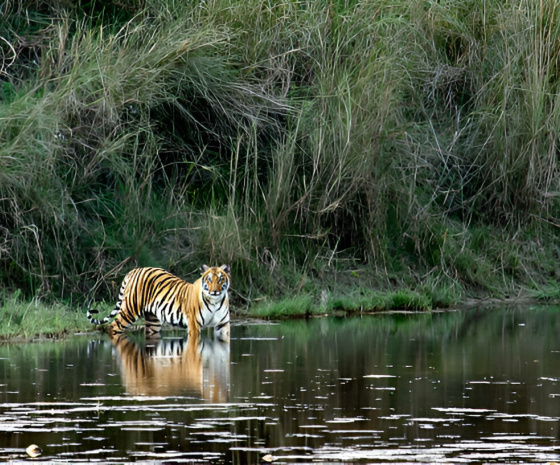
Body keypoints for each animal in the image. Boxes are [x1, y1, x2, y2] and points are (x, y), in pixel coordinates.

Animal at [86, 264, 231, 340]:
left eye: (220, 279)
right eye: (209, 280)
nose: (214, 291)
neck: (215, 301)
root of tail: (134, 271)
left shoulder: (223, 325)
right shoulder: (194, 325)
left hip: (153, 321)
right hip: (129, 310)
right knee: (113, 327)